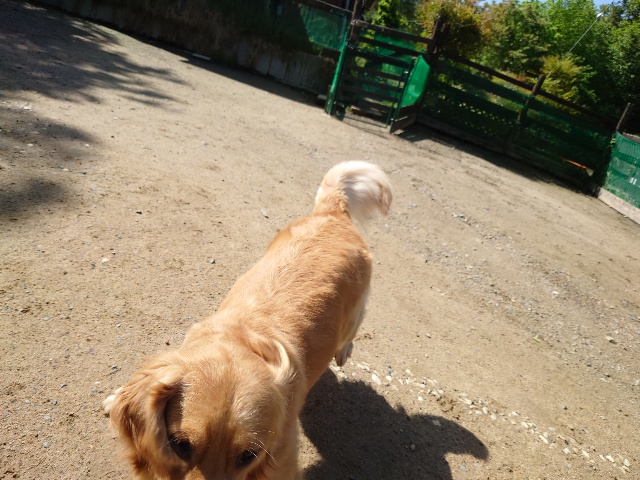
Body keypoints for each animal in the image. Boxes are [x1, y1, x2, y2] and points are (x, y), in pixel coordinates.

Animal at [103, 161, 392, 479]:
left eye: (248, 455)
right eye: (179, 444)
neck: (242, 339)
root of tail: (334, 213)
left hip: (354, 311)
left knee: (352, 328)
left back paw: (343, 350)